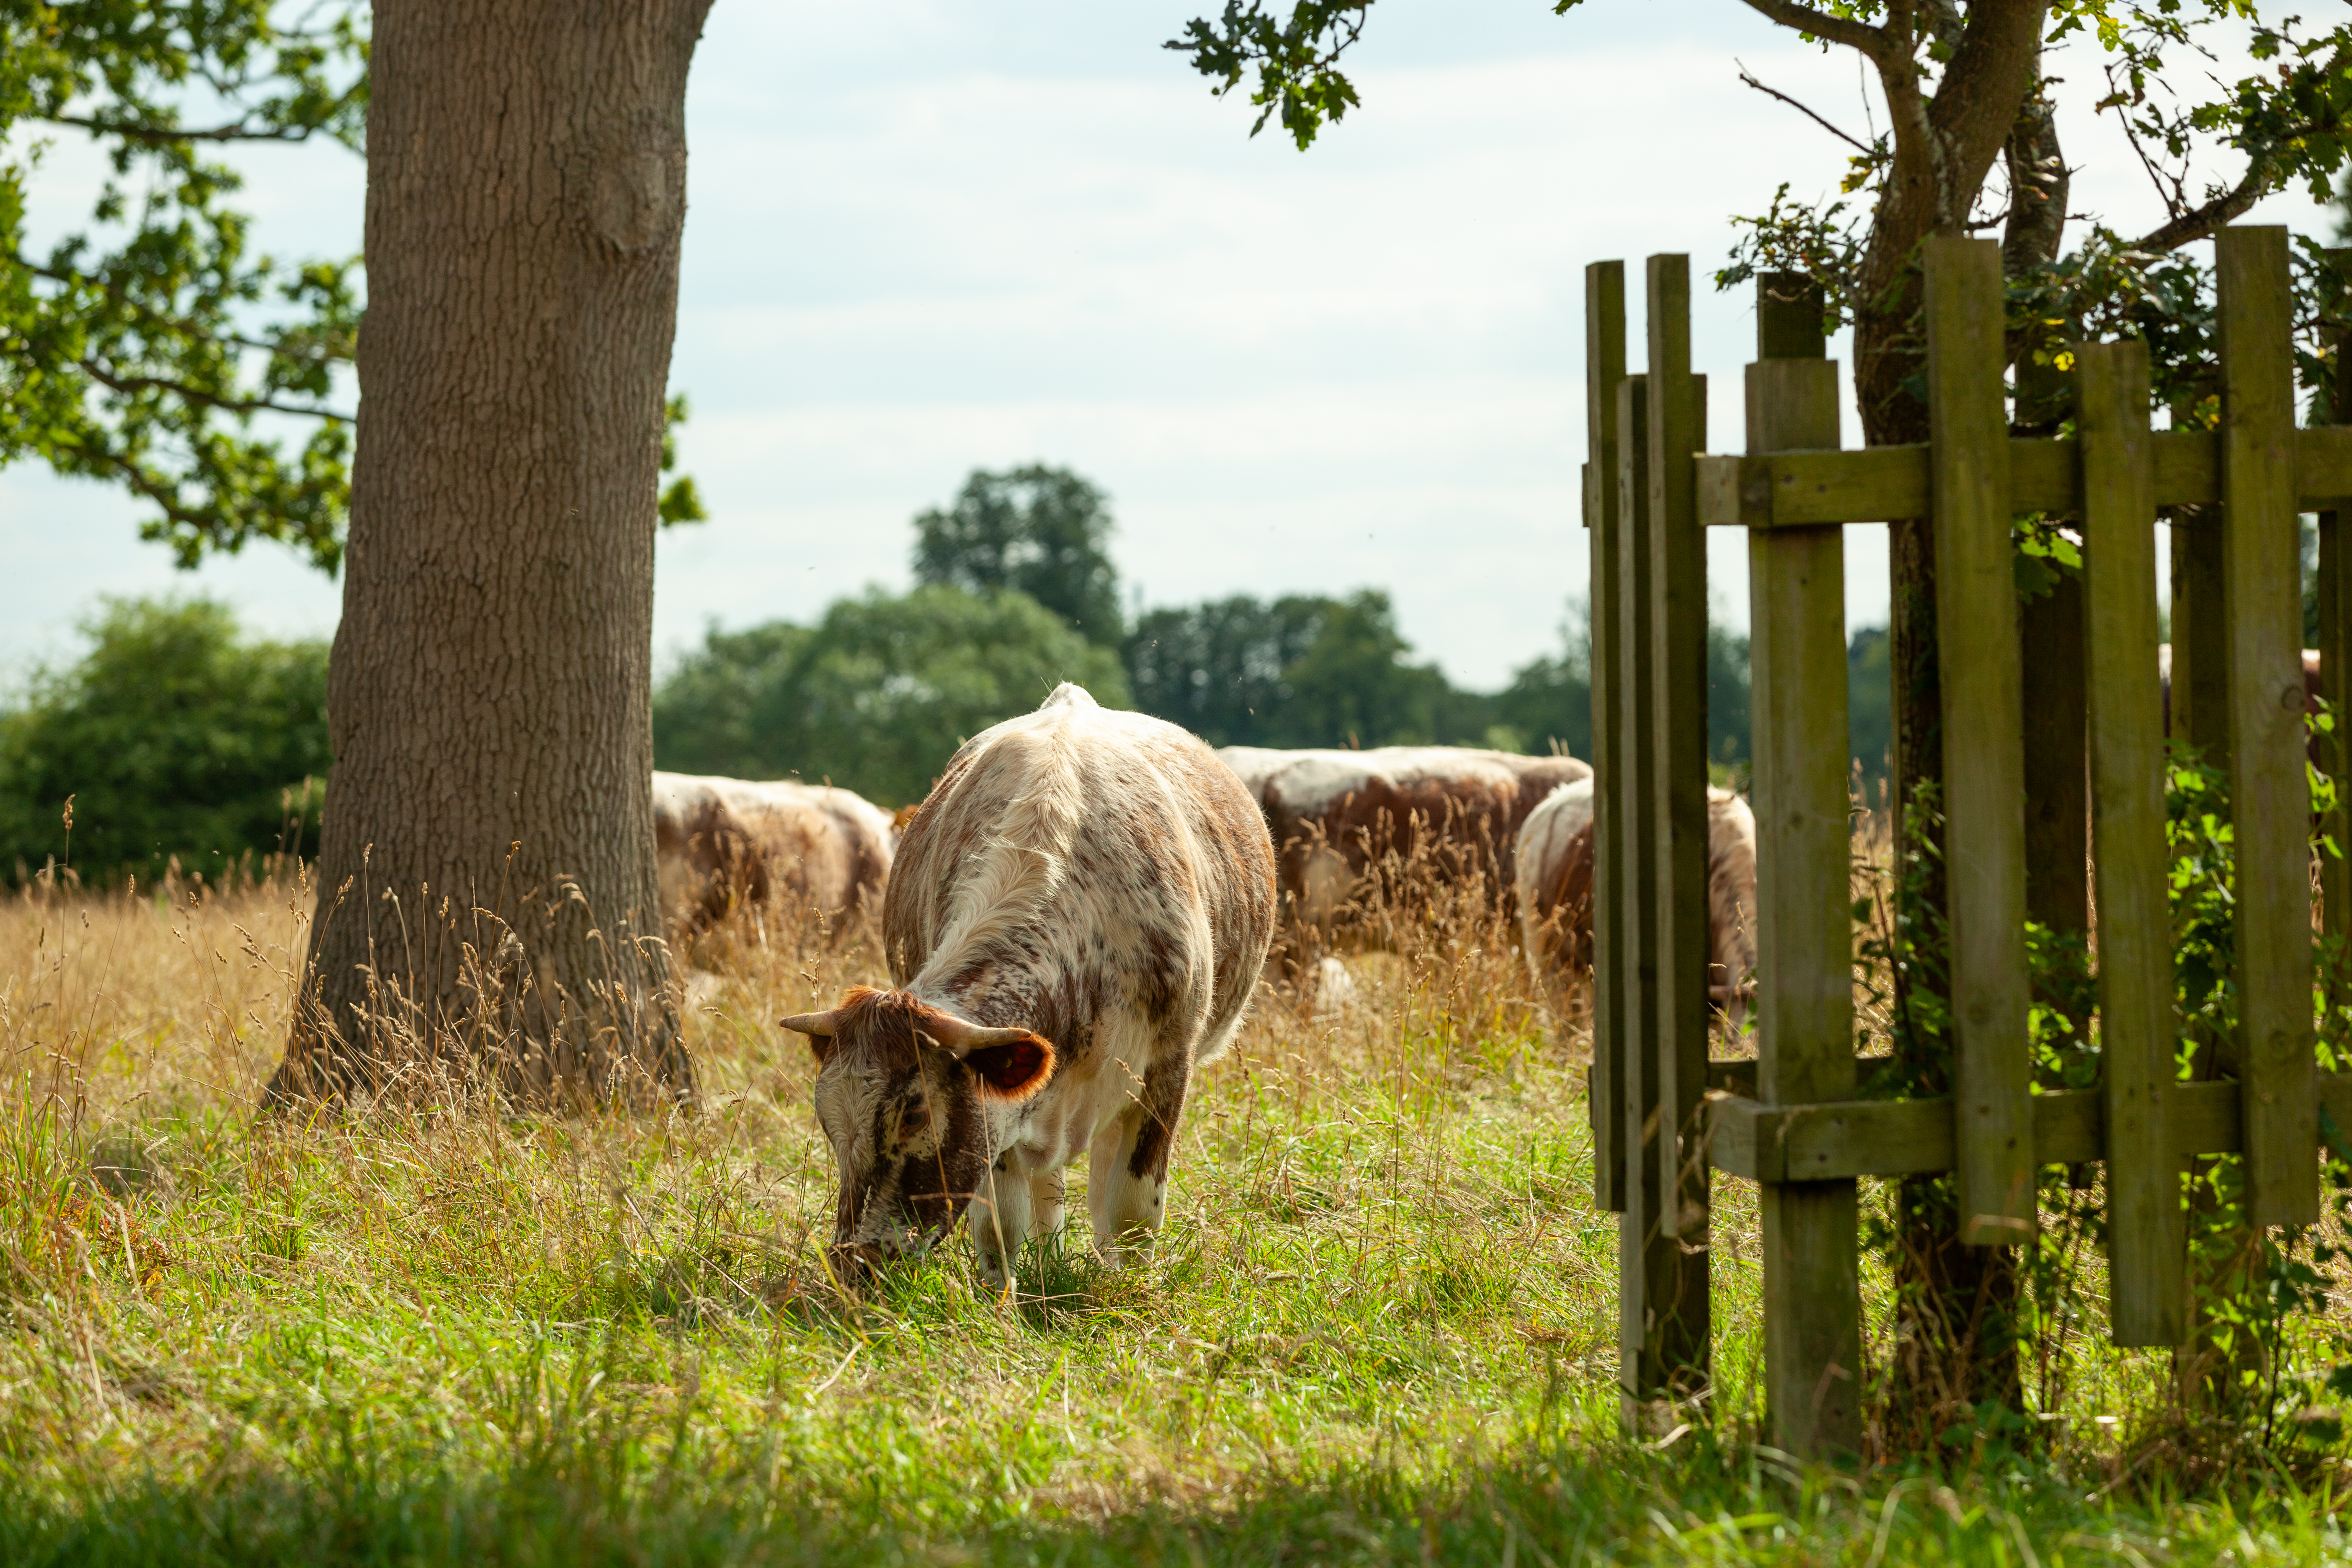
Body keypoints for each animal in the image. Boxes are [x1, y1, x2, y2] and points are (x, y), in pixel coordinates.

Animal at [778, 685, 1277, 1289]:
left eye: (914, 1114)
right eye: (828, 1123)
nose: (856, 1263)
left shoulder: (1166, 1070)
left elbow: (1132, 1211)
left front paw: (1128, 1290)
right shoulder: (1000, 1102)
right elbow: (1001, 1223)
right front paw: (1004, 1298)